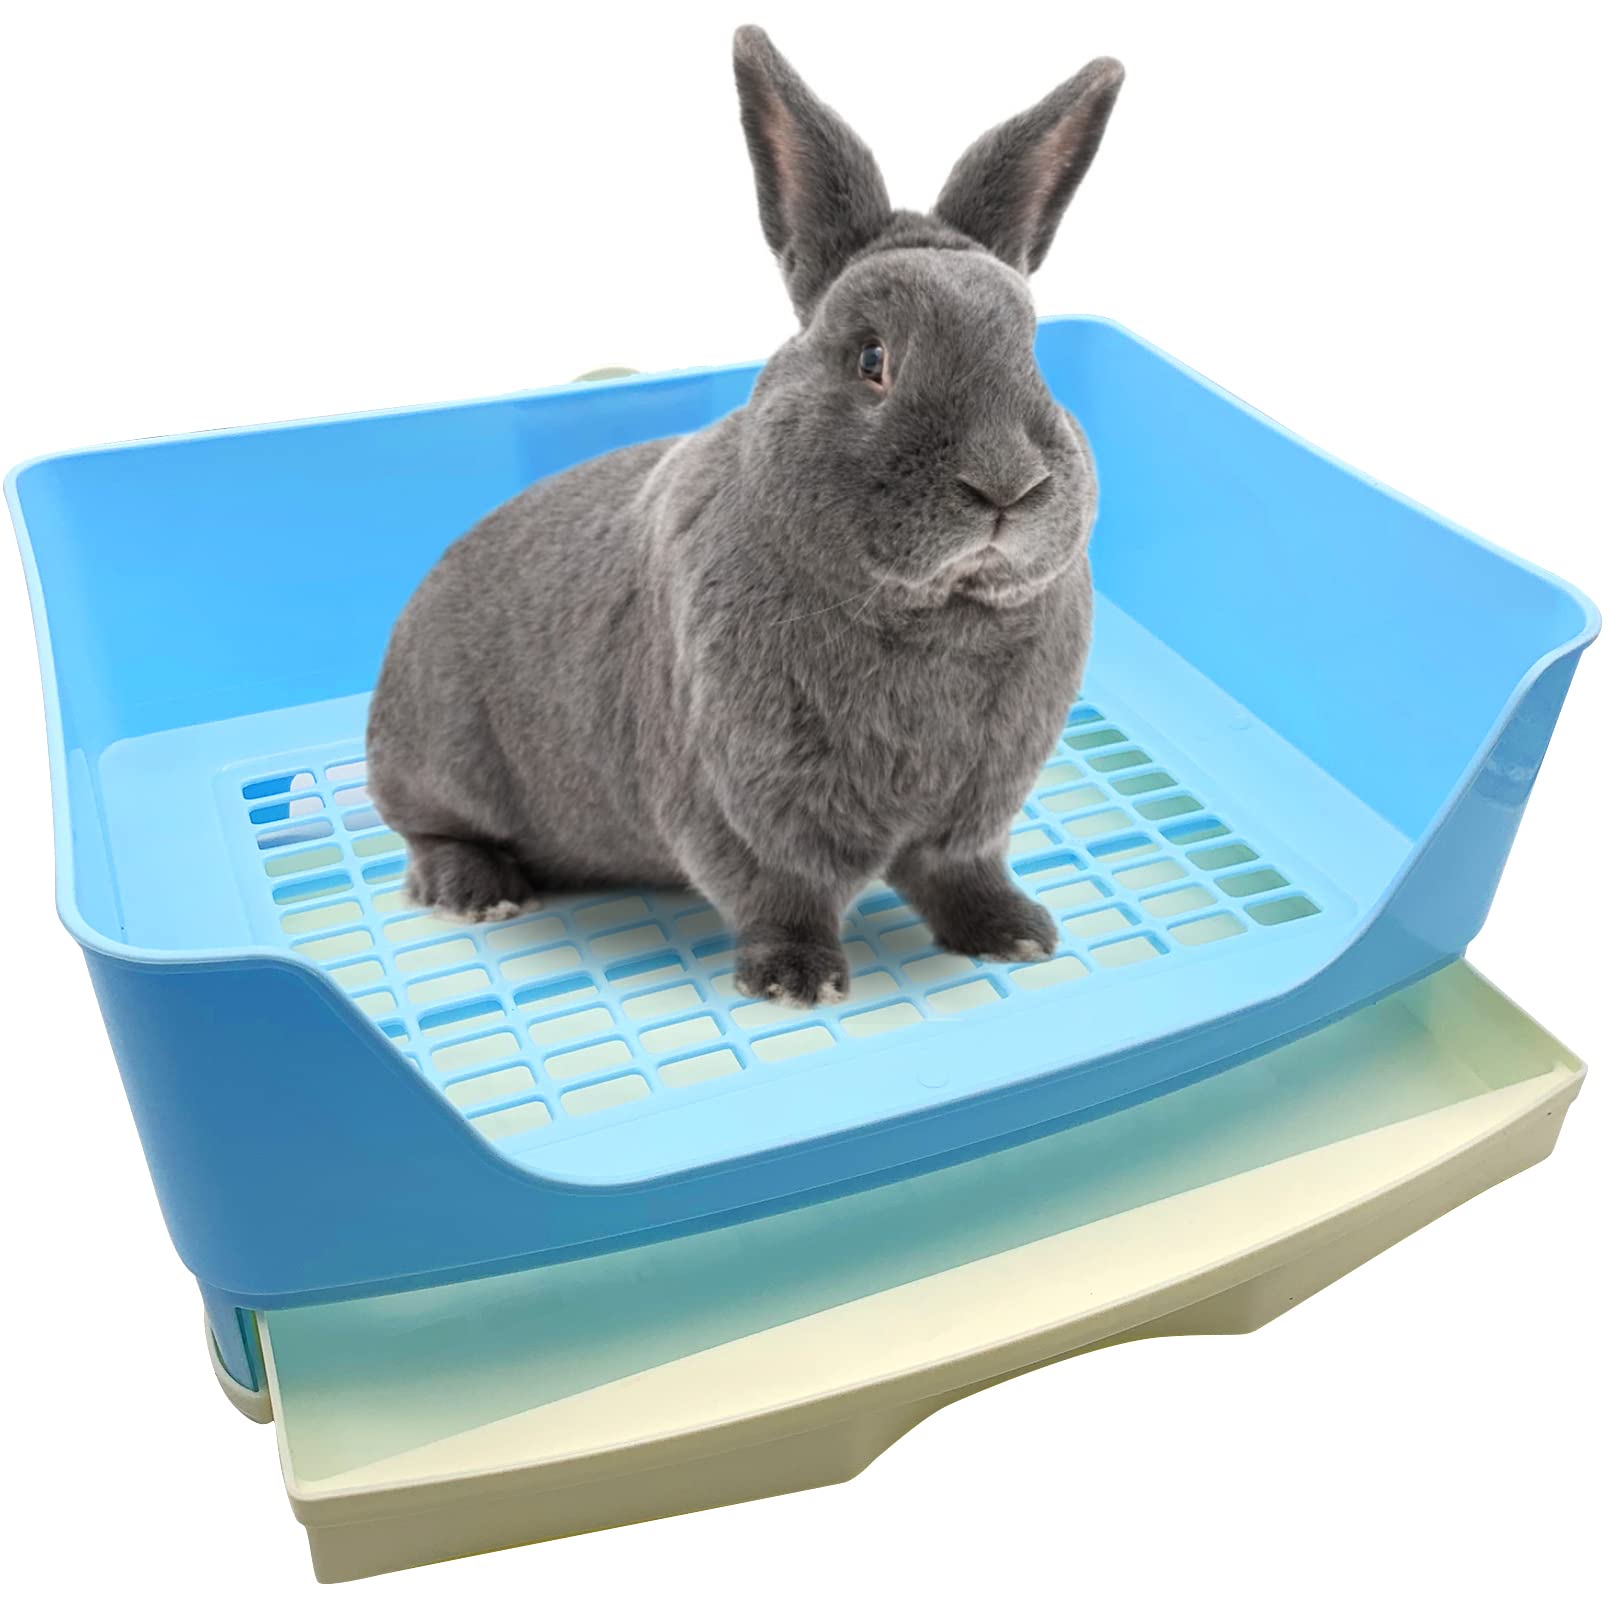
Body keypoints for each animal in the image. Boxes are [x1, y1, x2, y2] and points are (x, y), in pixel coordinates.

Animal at [367, 26, 1123, 1007]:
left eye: (1033, 352)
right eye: (871, 358)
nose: (1006, 485)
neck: (934, 616)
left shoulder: (970, 819)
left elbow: (963, 876)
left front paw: (1017, 935)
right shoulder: (743, 806)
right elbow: (782, 896)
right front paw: (797, 982)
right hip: (441, 759)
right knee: (427, 831)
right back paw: (479, 890)